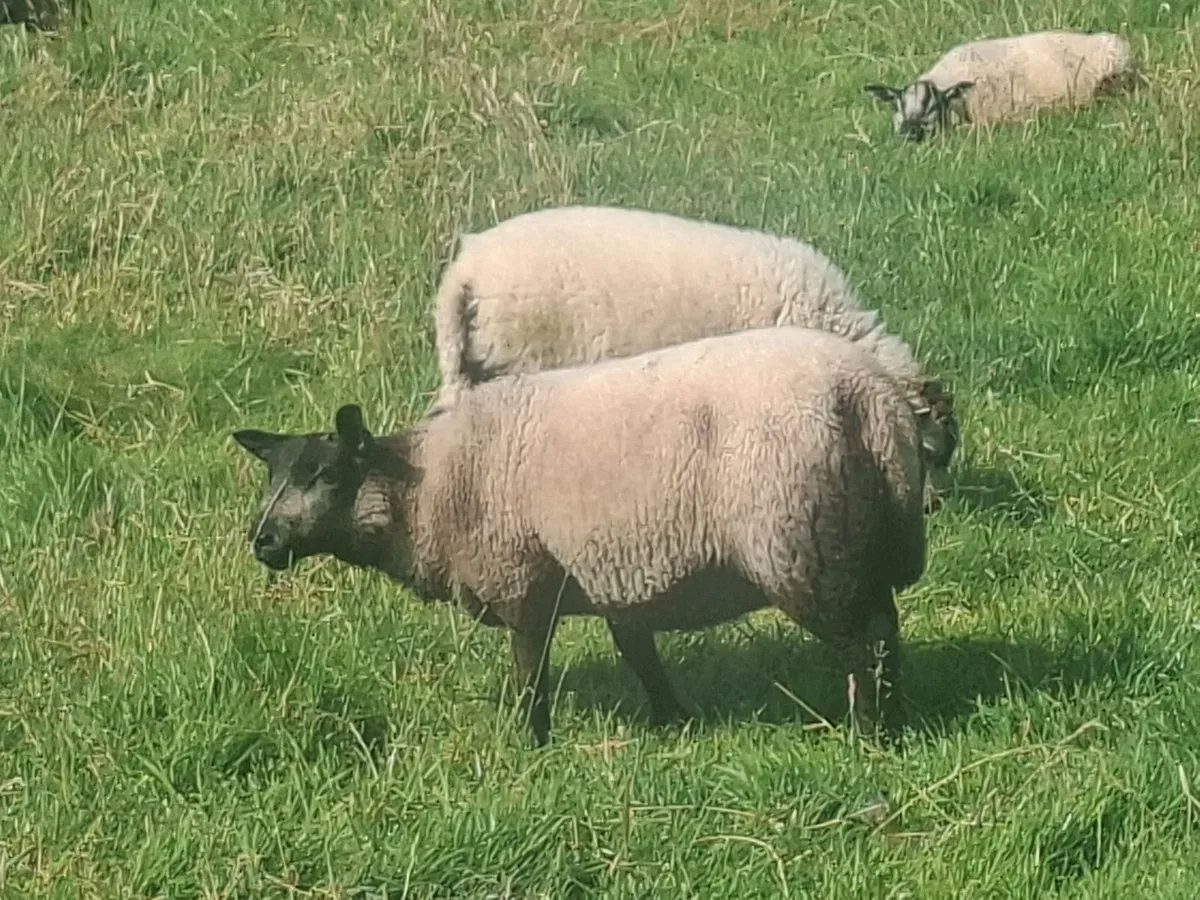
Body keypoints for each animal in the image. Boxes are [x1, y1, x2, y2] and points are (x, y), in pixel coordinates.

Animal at [232, 326, 929, 748]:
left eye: (324, 474)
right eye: (270, 474)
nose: (260, 542)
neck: (427, 487)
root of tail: (872, 400)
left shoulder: (523, 580)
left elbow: (530, 674)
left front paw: (533, 745)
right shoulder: (617, 573)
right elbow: (639, 655)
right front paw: (672, 722)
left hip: (800, 543)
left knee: (863, 641)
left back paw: (870, 734)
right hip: (858, 540)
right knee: (886, 630)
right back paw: (895, 720)